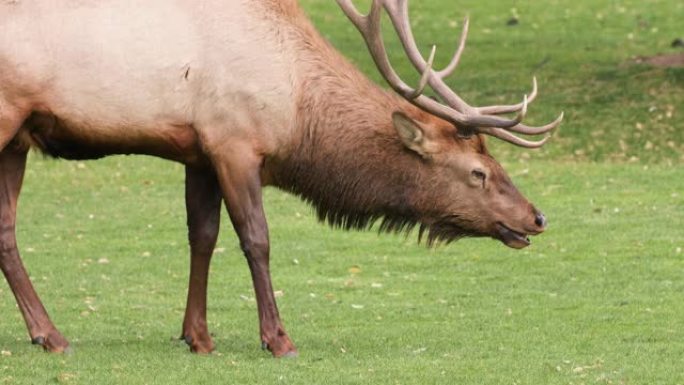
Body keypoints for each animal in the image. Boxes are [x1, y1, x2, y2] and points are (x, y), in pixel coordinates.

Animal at [0, 0, 564, 356]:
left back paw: (46, 333)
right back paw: (51, 335)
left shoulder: (199, 151)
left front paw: (198, 337)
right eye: (478, 172)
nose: (536, 217)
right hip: (6, 117)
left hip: (17, 142)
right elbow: (256, 240)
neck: (296, 110)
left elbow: (202, 237)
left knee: (6, 231)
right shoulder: (234, 142)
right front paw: (277, 340)